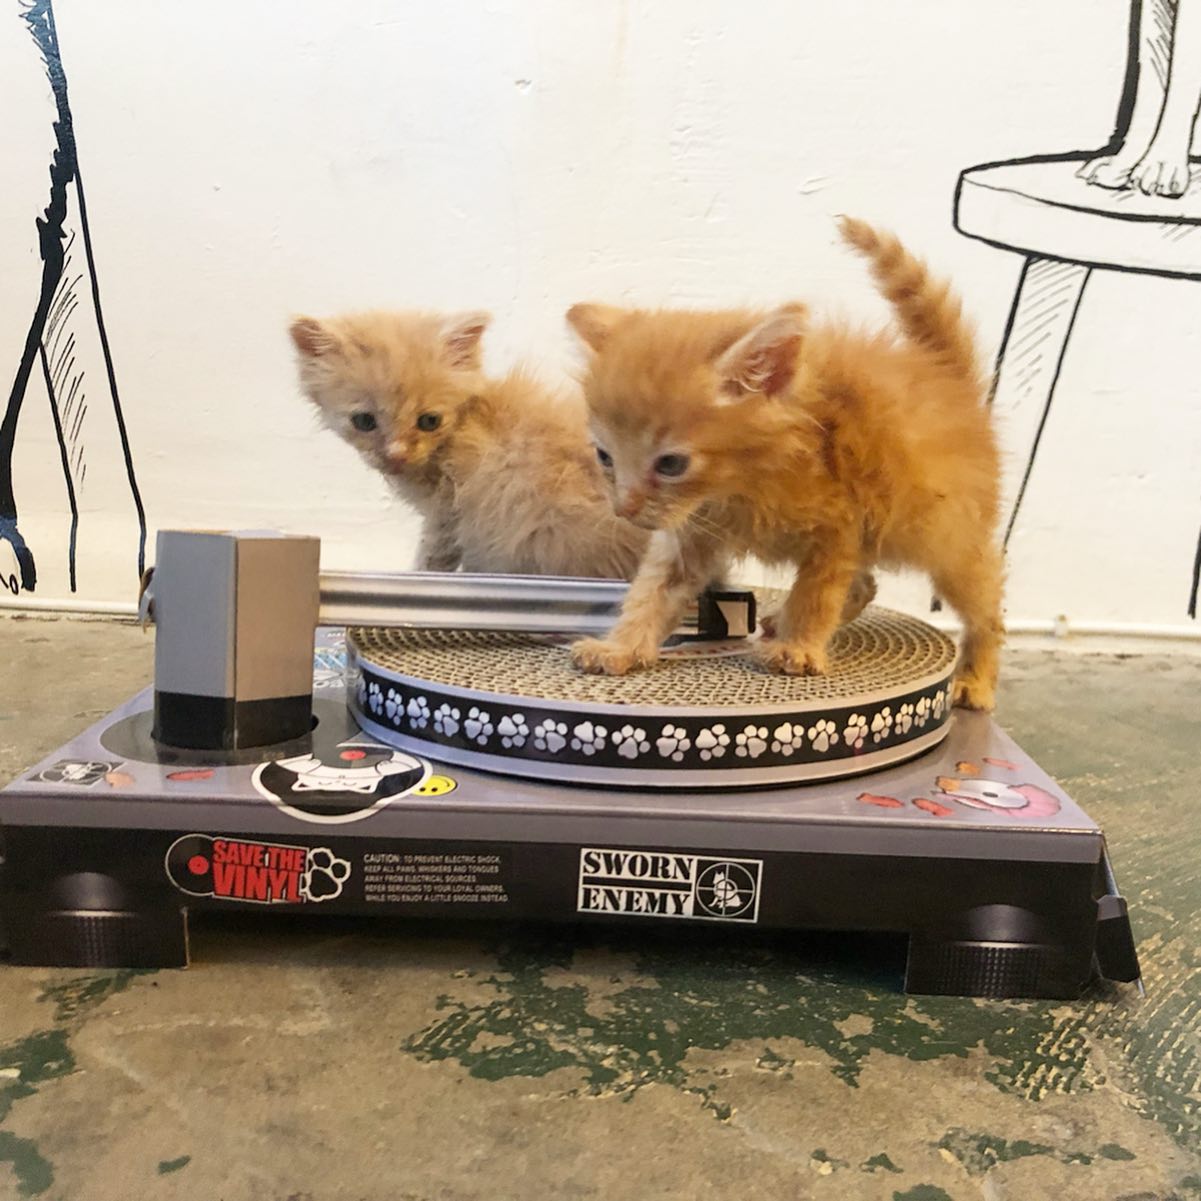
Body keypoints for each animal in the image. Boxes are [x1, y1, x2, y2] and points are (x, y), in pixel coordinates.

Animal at [289, 310, 648, 578]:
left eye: (429, 421)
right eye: (364, 421)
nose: (396, 455)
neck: (465, 424)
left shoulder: (451, 514)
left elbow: (433, 559)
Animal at [566, 217, 1004, 711]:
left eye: (672, 464)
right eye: (604, 456)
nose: (624, 509)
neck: (744, 484)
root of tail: (949, 377)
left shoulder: (838, 529)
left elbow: (816, 594)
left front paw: (798, 647)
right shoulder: (692, 531)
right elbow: (652, 593)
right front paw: (619, 647)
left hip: (951, 539)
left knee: (985, 609)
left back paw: (975, 679)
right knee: (865, 585)